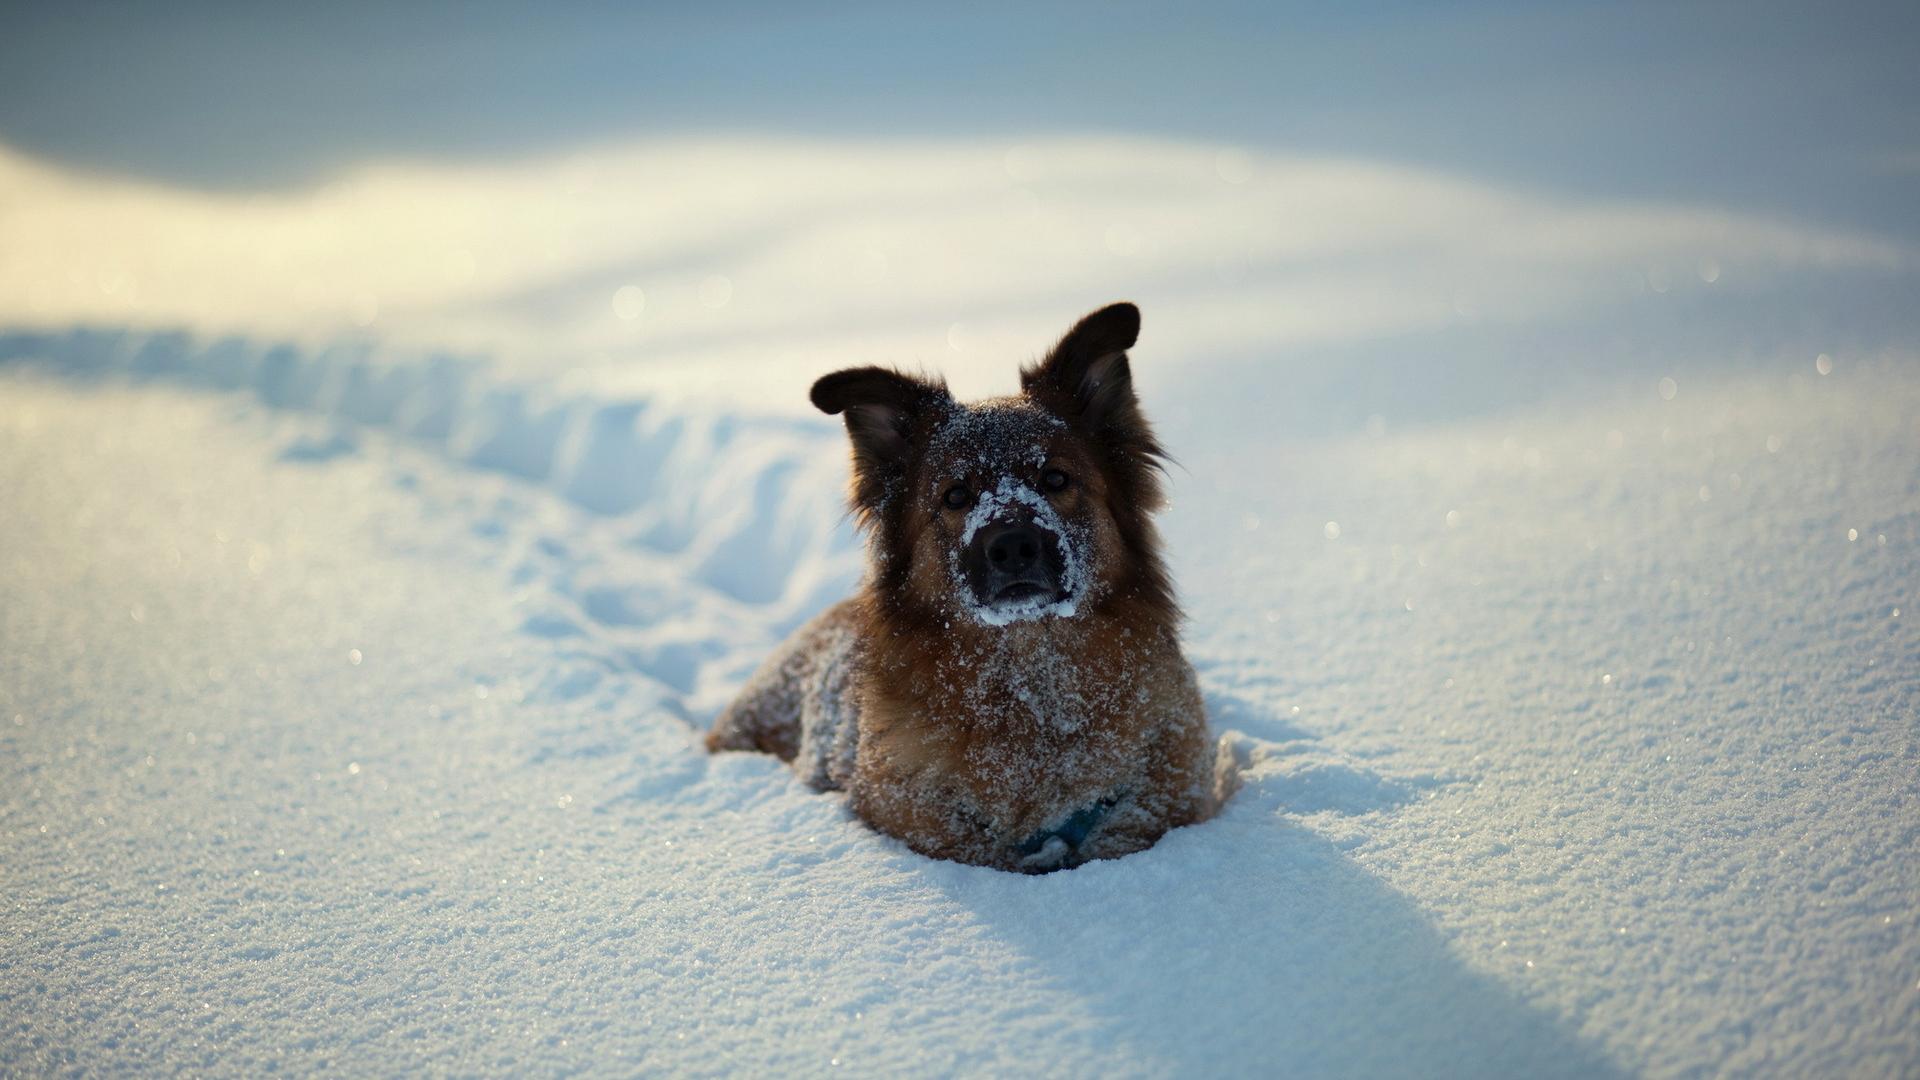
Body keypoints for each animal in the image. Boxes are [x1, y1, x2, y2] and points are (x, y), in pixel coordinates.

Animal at [706, 299, 1213, 864]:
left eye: (1055, 479)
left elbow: (1130, 828)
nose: (1013, 546)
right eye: (955, 496)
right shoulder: (906, 807)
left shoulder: (1172, 780)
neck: (1031, 684)